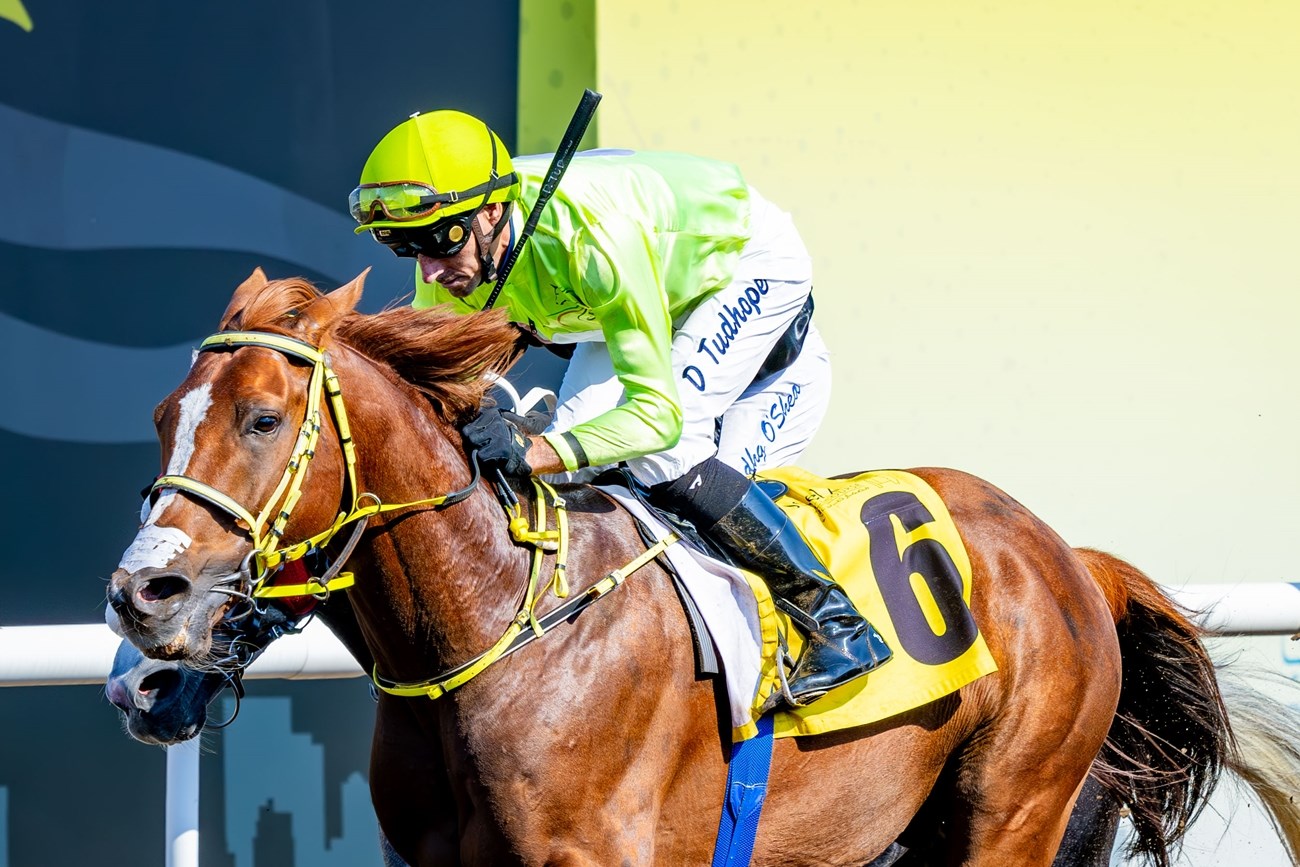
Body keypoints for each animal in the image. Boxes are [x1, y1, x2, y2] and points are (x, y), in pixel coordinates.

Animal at [104, 267, 1300, 863]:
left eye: (262, 419)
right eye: (162, 418)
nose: (141, 595)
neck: (499, 628)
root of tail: (1069, 556)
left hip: (1011, 811)